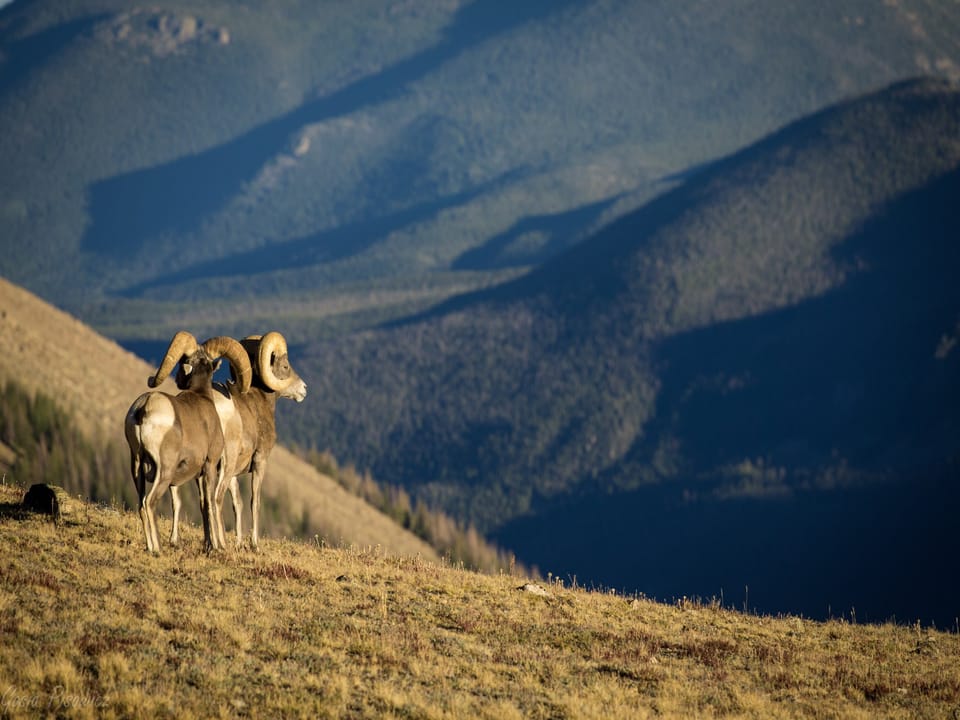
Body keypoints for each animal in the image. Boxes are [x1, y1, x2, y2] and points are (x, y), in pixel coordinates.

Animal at [124, 331, 252, 553]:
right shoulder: (210, 465)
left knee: (141, 505)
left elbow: (202, 504)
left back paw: (150, 547)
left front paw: (209, 544)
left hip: (137, 465)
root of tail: (144, 407)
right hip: (164, 471)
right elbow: (209, 503)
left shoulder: (198, 475)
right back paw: (158, 549)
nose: (178, 379)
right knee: (149, 503)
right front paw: (216, 547)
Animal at [166, 331, 307, 550]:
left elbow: (237, 504)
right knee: (215, 498)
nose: (304, 389)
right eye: (285, 366)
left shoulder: (233, 473)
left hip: (201, 466)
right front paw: (254, 544)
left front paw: (240, 542)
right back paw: (220, 544)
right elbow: (254, 502)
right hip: (224, 462)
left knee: (197, 499)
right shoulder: (259, 461)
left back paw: (200, 542)